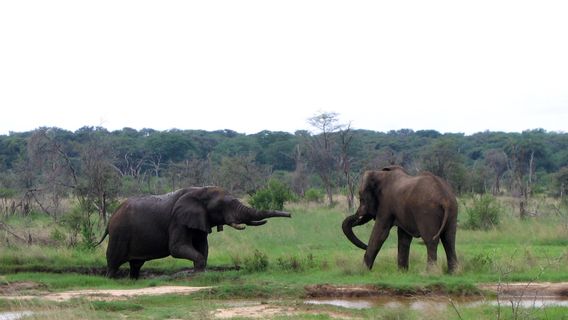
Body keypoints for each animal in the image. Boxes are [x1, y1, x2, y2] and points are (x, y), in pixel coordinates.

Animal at [97, 186, 290, 278]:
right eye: (222, 206)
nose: (290, 214)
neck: (200, 190)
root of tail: (111, 218)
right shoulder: (178, 219)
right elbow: (177, 248)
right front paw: (199, 273)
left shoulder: (200, 219)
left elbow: (203, 247)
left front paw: (200, 272)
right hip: (119, 233)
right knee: (113, 261)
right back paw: (110, 279)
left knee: (136, 264)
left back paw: (134, 280)